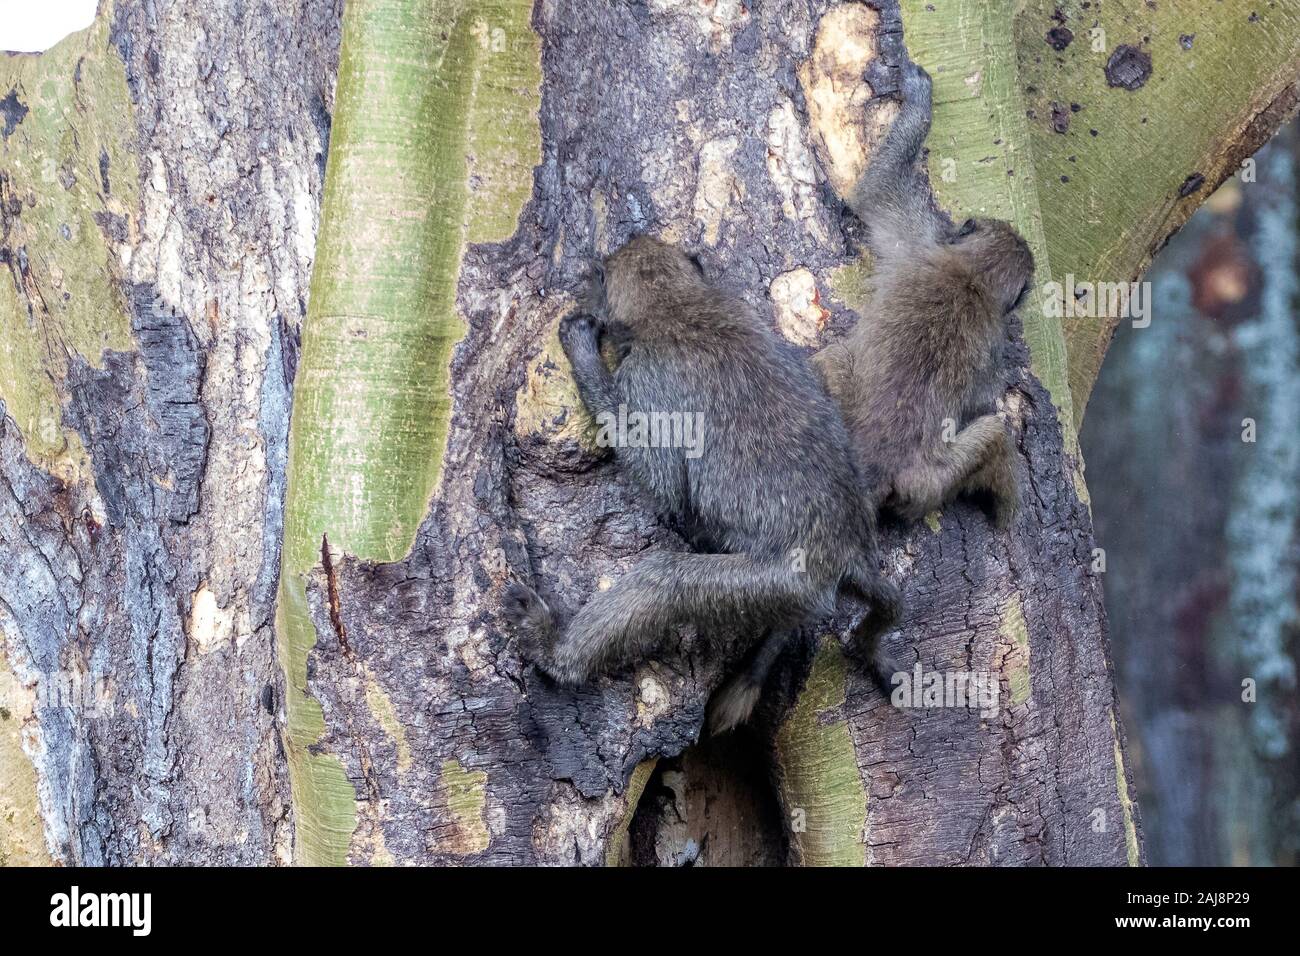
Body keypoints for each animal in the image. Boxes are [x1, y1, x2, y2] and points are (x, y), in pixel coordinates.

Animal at [503, 236, 903, 733]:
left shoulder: (646, 378)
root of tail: (848, 550)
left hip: (777, 583)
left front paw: (583, 351)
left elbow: (662, 480)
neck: (677, 303)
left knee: (664, 582)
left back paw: (555, 651)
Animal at [814, 59, 1031, 530]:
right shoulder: (922, 243)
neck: (974, 276)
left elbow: (878, 189)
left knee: (992, 433)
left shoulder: (919, 243)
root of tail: (874, 464)